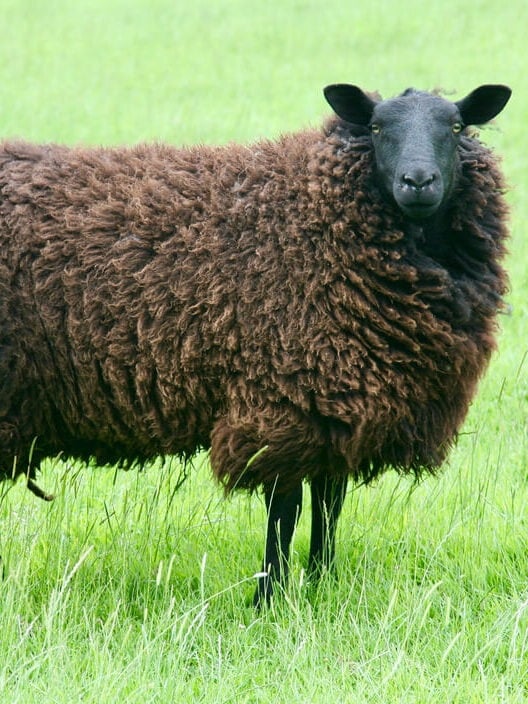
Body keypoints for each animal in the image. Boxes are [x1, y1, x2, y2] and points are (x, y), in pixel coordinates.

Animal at [0, 82, 511, 605]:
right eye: (375, 127)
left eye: (456, 126)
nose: (418, 181)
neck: (317, 221)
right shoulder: (284, 403)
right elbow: (285, 509)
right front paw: (270, 596)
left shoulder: (339, 405)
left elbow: (329, 504)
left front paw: (322, 581)